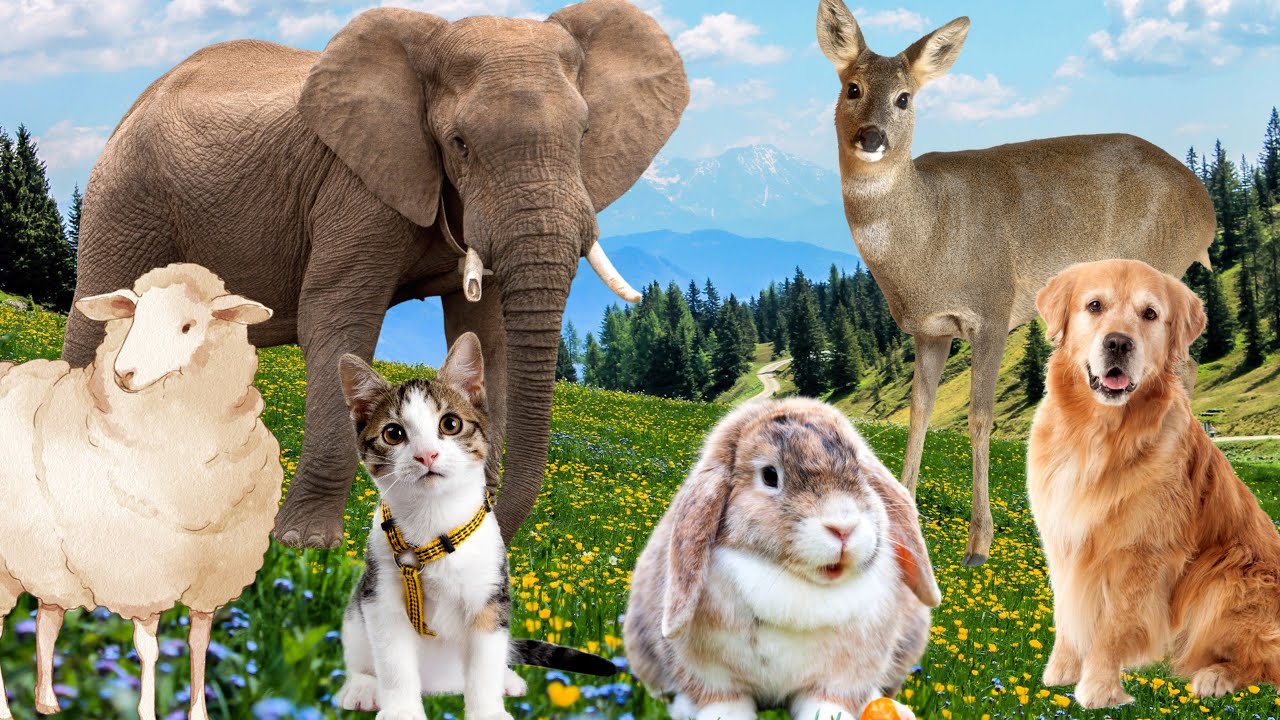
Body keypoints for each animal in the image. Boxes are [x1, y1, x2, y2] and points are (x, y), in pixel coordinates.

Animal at [0, 263, 283, 720]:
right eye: (134, 317)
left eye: (188, 326)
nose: (124, 374)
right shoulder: (142, 573)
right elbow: (148, 649)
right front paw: (148, 711)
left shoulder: (214, 575)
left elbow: (200, 643)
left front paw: (199, 712)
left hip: (47, 557)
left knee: (48, 617)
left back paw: (47, 701)